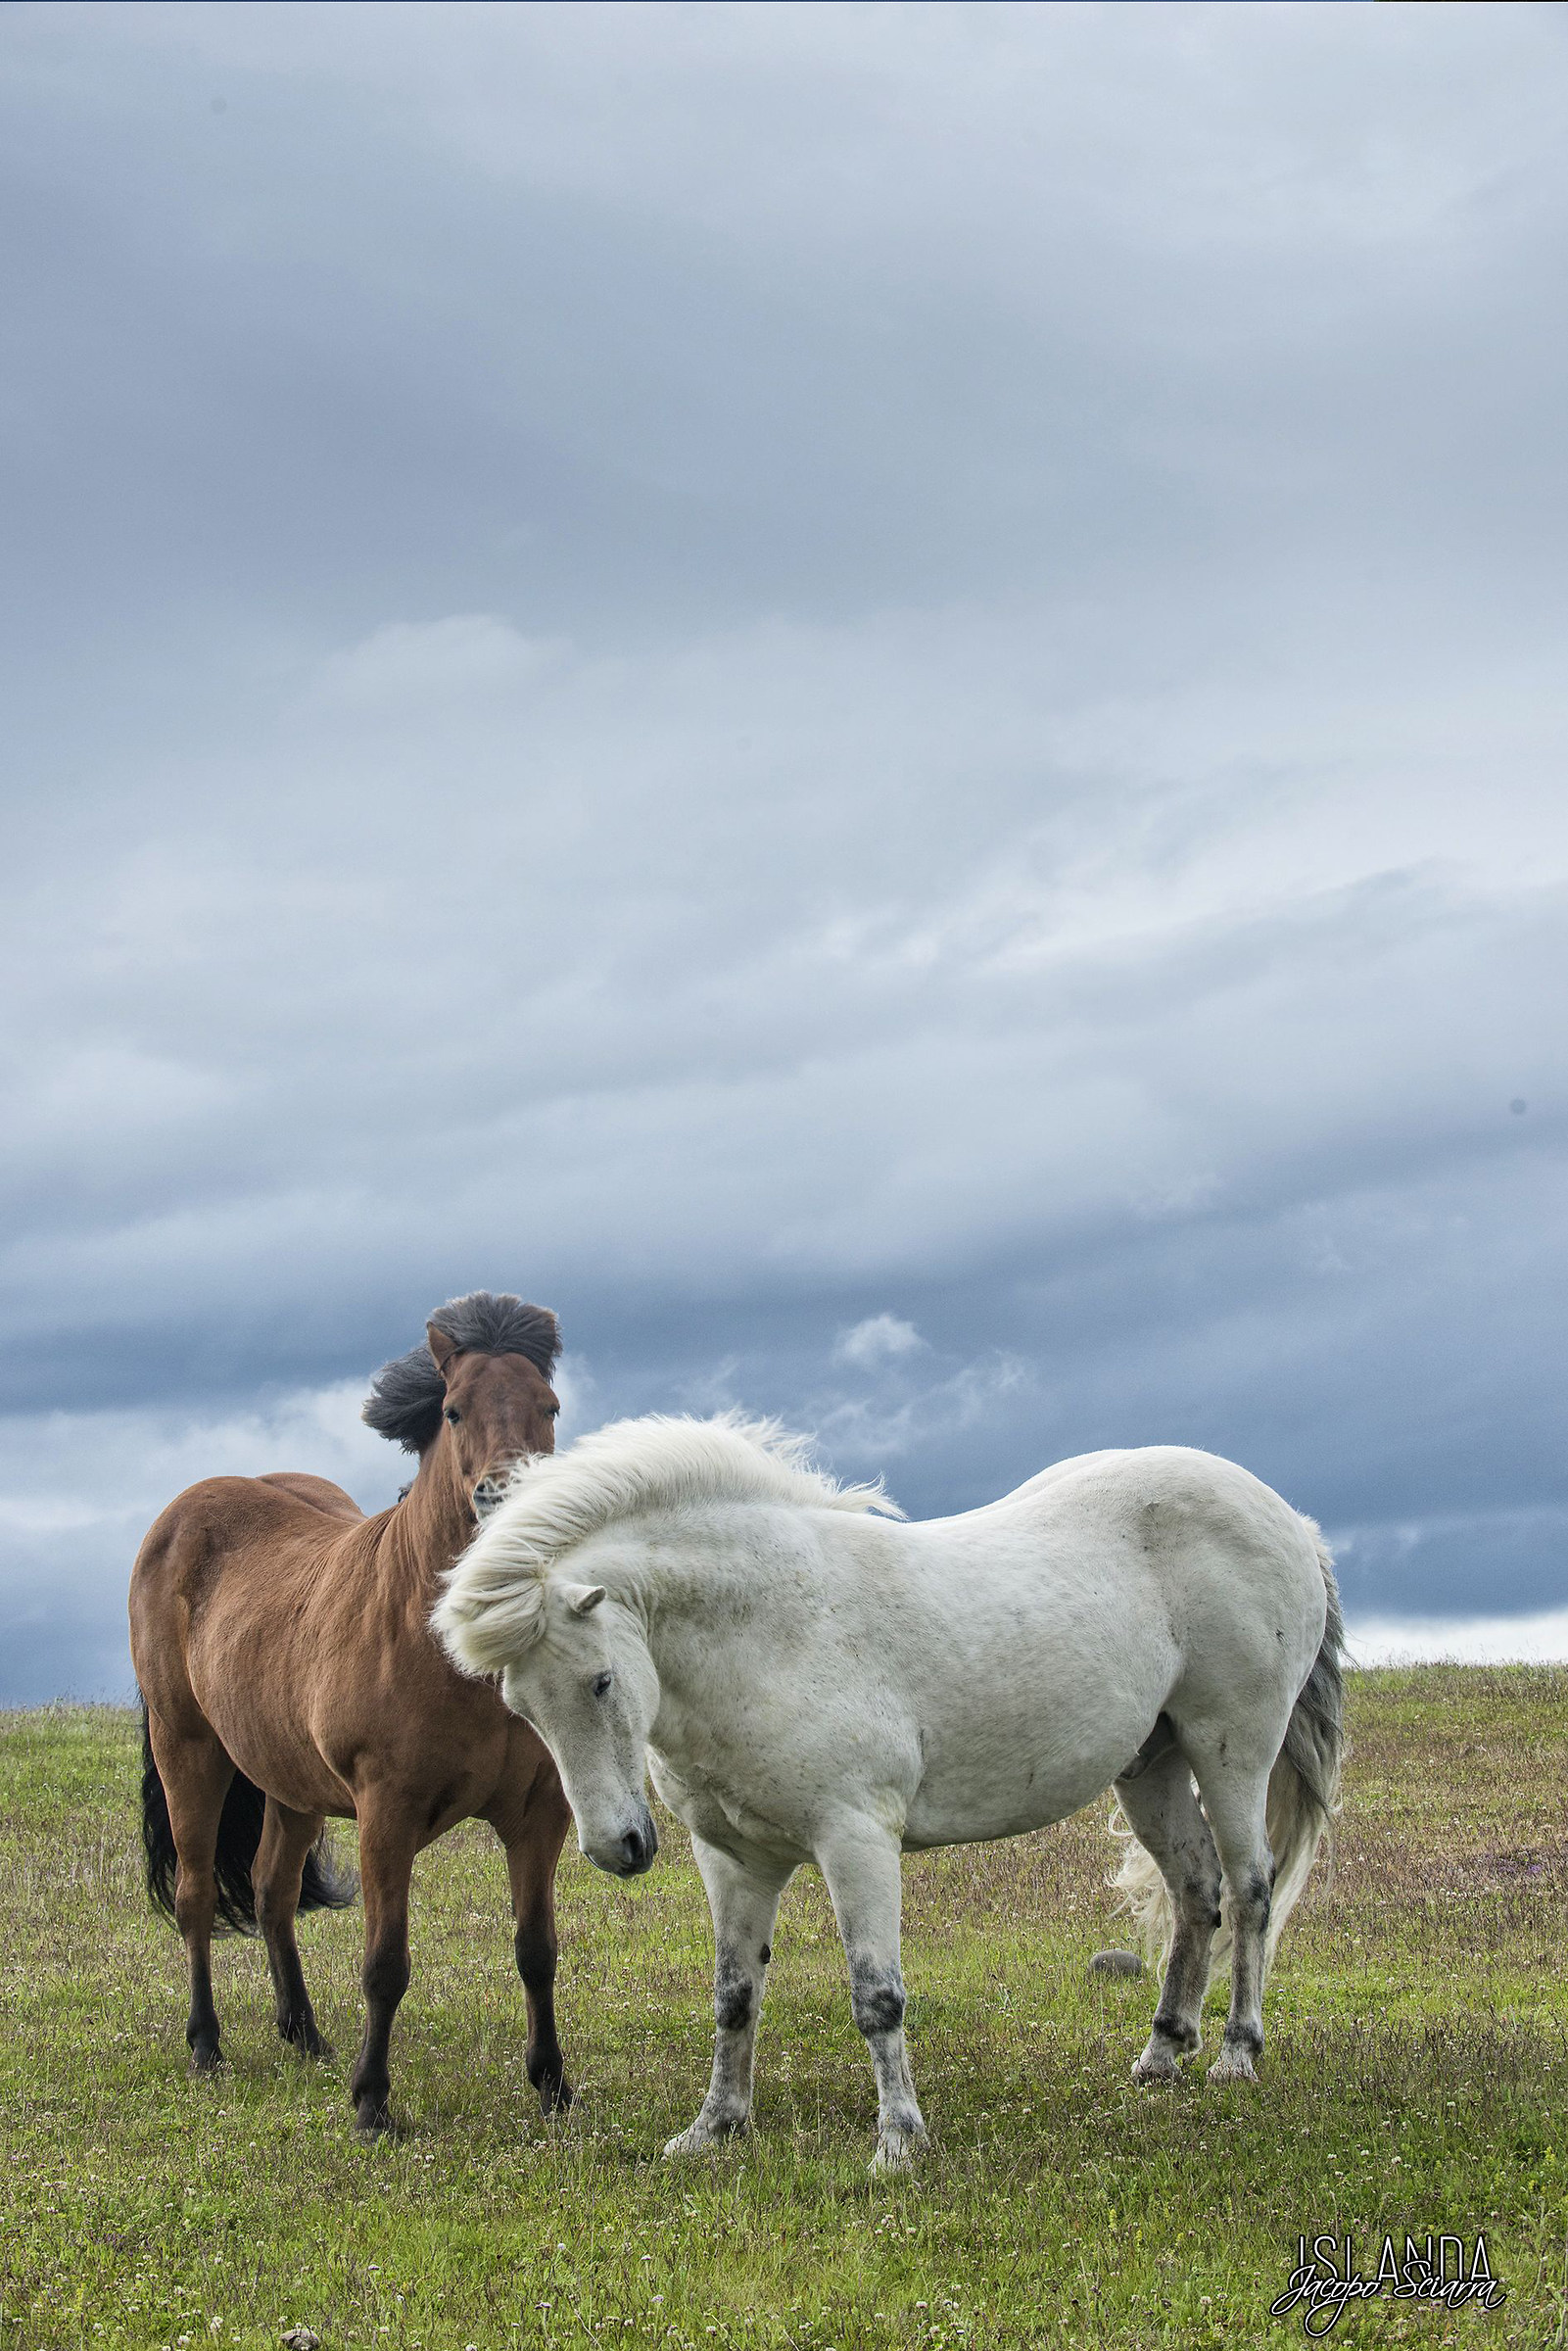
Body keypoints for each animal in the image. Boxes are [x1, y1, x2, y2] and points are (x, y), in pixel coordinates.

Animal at [130, 1291, 575, 2136]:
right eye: (455, 1409)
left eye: (549, 1406)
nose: (503, 1498)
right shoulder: (385, 1814)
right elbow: (384, 1964)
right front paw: (372, 2103)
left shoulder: (538, 1814)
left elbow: (536, 1951)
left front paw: (553, 2086)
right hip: (188, 1752)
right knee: (197, 1897)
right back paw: (206, 2046)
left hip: (289, 1785)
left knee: (271, 1893)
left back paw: (304, 2034)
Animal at [432, 1413, 1344, 2170]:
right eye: (522, 1708)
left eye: (599, 1681)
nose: (614, 1848)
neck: (765, 1630)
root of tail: (1289, 1522)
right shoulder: (732, 1859)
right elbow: (733, 1996)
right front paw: (713, 2128)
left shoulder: (856, 1842)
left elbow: (876, 1998)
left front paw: (898, 2142)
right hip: (1149, 1768)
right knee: (1195, 1891)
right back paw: (1161, 2053)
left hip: (1230, 1750)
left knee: (1249, 1889)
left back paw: (1235, 2053)